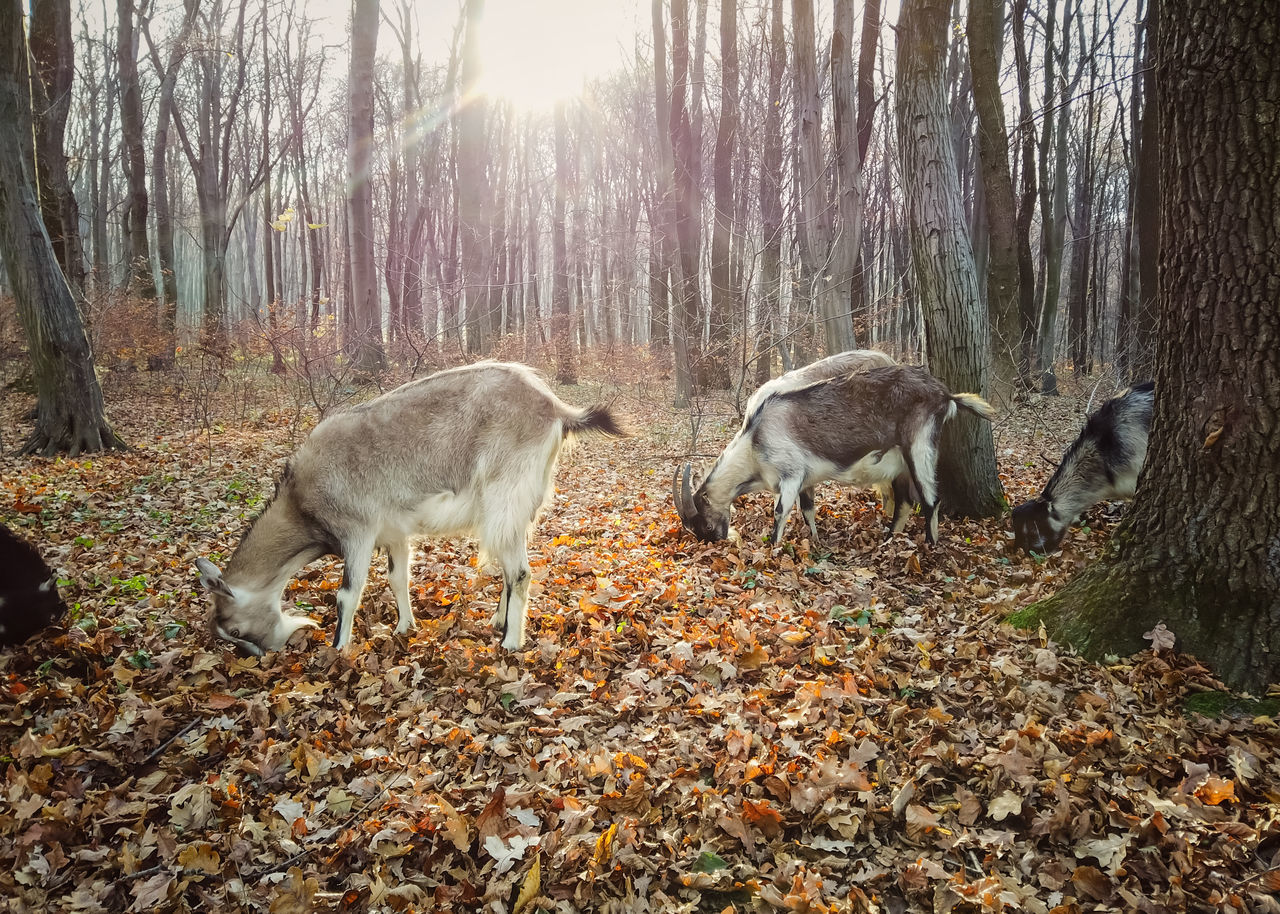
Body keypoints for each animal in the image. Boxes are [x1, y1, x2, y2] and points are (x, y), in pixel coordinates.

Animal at [193, 363, 624, 655]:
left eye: (234, 630)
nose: (266, 653)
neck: (302, 500)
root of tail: (557, 409)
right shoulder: (394, 534)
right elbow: (397, 579)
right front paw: (404, 627)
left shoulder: (357, 531)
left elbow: (348, 593)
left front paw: (338, 650)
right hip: (519, 506)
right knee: (508, 565)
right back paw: (498, 623)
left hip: (506, 495)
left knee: (519, 572)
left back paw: (511, 643)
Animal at [675, 363, 993, 547]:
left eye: (705, 524)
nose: (718, 539)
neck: (755, 439)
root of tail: (945, 395)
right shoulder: (805, 481)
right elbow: (807, 511)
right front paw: (815, 543)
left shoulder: (790, 476)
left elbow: (780, 513)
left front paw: (772, 548)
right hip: (901, 465)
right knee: (904, 504)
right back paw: (887, 542)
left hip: (919, 446)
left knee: (930, 500)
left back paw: (930, 546)